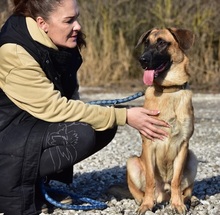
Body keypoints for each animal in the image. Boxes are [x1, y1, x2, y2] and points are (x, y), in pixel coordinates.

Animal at [126, 27, 199, 214]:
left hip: (192, 158)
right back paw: (146, 201)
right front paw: (147, 205)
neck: (168, 90)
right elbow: (150, 180)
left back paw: (188, 199)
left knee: (184, 190)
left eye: (161, 43)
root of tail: (163, 195)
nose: (142, 60)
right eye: (146, 43)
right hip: (132, 162)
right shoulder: (149, 143)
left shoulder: (183, 145)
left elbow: (176, 180)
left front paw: (177, 204)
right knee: (141, 192)